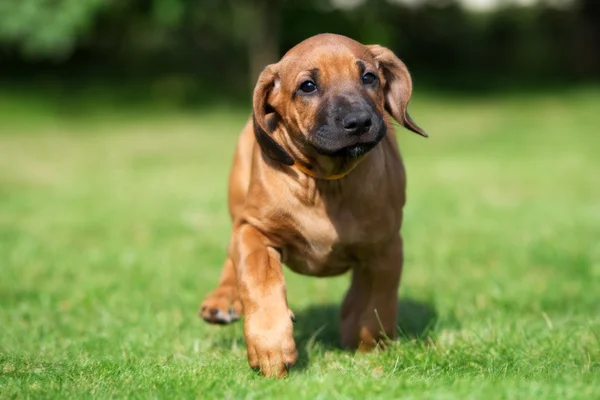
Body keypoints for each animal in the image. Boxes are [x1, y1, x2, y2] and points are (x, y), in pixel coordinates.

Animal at [199, 32, 424, 378]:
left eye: (369, 77)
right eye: (308, 86)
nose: (359, 122)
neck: (326, 182)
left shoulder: (385, 247)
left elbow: (377, 301)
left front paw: (370, 349)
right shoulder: (255, 229)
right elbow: (257, 278)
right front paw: (271, 346)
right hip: (238, 202)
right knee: (231, 252)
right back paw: (223, 300)